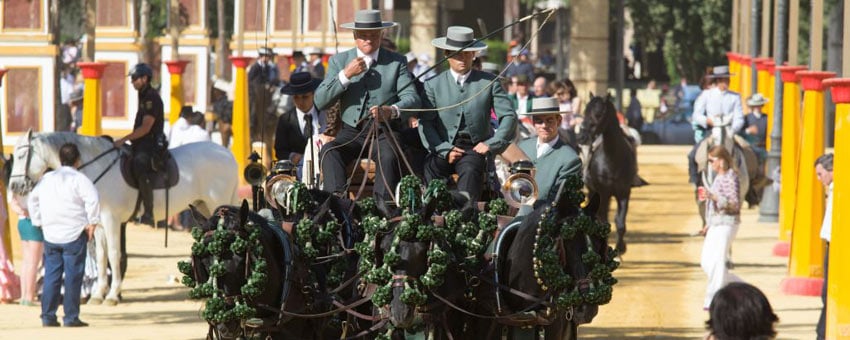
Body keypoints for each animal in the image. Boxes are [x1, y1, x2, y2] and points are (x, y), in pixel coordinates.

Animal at [7, 130, 238, 306]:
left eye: (21, 156)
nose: (14, 187)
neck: (97, 168)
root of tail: (227, 153)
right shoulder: (99, 223)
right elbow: (102, 256)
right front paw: (98, 294)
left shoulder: (111, 220)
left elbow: (114, 254)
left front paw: (111, 295)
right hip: (203, 208)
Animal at [576, 94, 644, 254]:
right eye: (585, 111)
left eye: (598, 114)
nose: (581, 136)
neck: (612, 159)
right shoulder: (603, 193)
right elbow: (604, 220)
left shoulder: (624, 192)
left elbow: (620, 222)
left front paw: (621, 247)